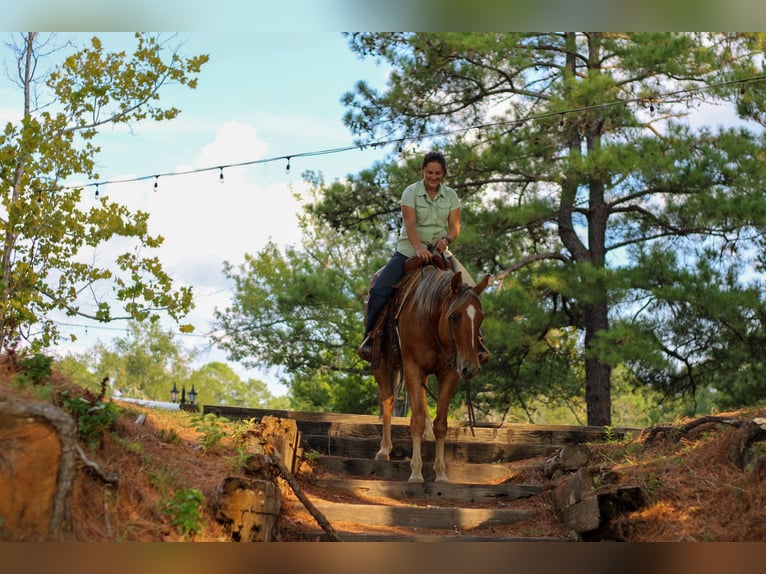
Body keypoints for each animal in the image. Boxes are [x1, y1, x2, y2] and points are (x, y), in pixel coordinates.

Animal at [374, 266, 492, 486]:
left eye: (481, 317)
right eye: (454, 317)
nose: (471, 367)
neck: (429, 319)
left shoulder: (450, 372)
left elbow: (441, 424)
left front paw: (441, 474)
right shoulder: (412, 367)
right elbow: (416, 420)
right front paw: (416, 472)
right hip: (381, 362)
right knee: (387, 401)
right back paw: (384, 449)